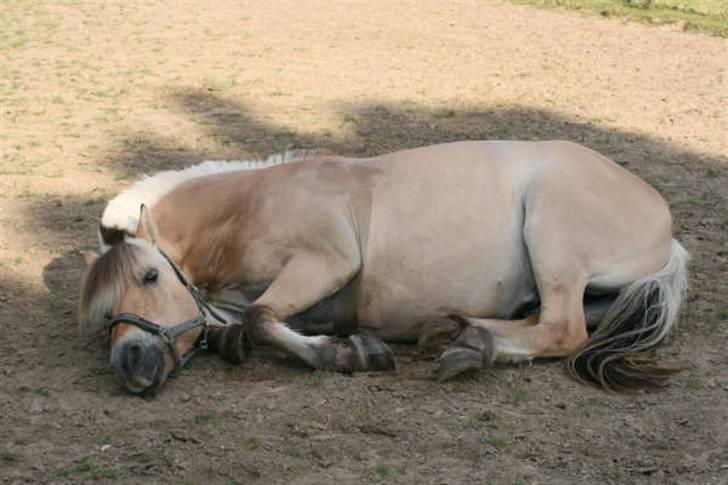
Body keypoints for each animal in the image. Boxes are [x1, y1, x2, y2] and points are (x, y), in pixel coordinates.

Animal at [79, 139, 688, 394]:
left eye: (150, 276)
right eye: (104, 312)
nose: (129, 362)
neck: (249, 205)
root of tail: (668, 229)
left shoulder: (326, 262)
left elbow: (260, 317)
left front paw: (349, 354)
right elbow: (239, 322)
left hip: (552, 236)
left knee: (563, 328)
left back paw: (472, 346)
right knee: (541, 321)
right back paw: (455, 331)